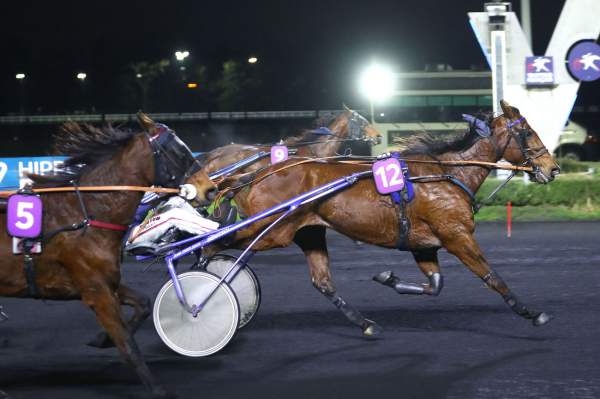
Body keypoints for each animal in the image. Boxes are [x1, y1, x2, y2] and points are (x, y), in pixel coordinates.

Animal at [0, 117, 216, 398]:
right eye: (180, 152)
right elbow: (127, 343)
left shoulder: (105, 282)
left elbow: (143, 303)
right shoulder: (96, 290)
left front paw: (101, 340)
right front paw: (159, 390)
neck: (85, 216)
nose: (210, 190)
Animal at [204, 99, 560, 334]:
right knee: (214, 244)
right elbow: (492, 277)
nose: (553, 168)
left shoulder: (424, 245)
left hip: (308, 232)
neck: (446, 174)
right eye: (527, 133)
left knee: (323, 282)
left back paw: (365, 323)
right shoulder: (457, 236)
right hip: (270, 231)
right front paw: (531, 313)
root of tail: (255, 173)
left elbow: (435, 285)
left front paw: (388, 278)